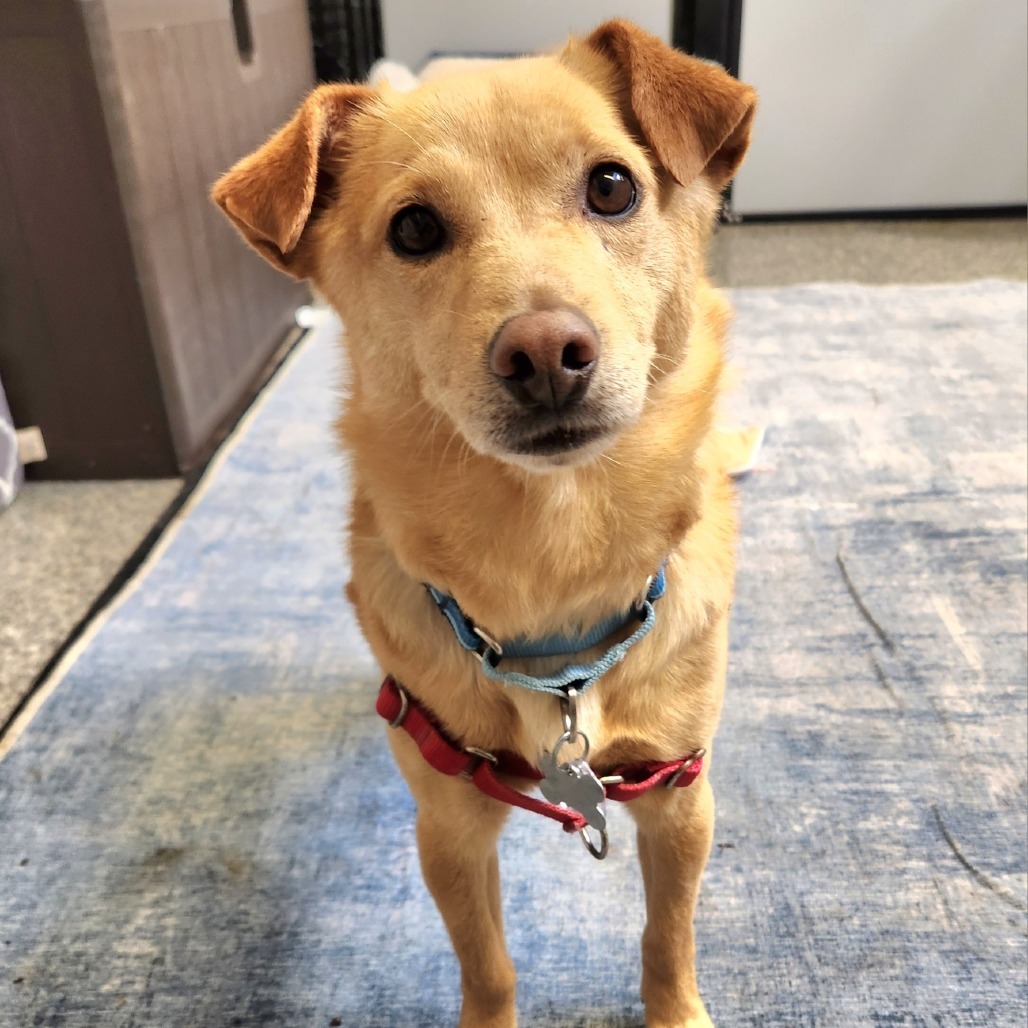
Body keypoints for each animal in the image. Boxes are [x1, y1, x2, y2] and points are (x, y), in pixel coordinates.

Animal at [212, 22, 756, 1028]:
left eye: (612, 186)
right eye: (415, 229)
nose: (544, 352)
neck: (551, 557)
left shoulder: (679, 800)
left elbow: (668, 938)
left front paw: (676, 1010)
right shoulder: (450, 827)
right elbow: (488, 965)